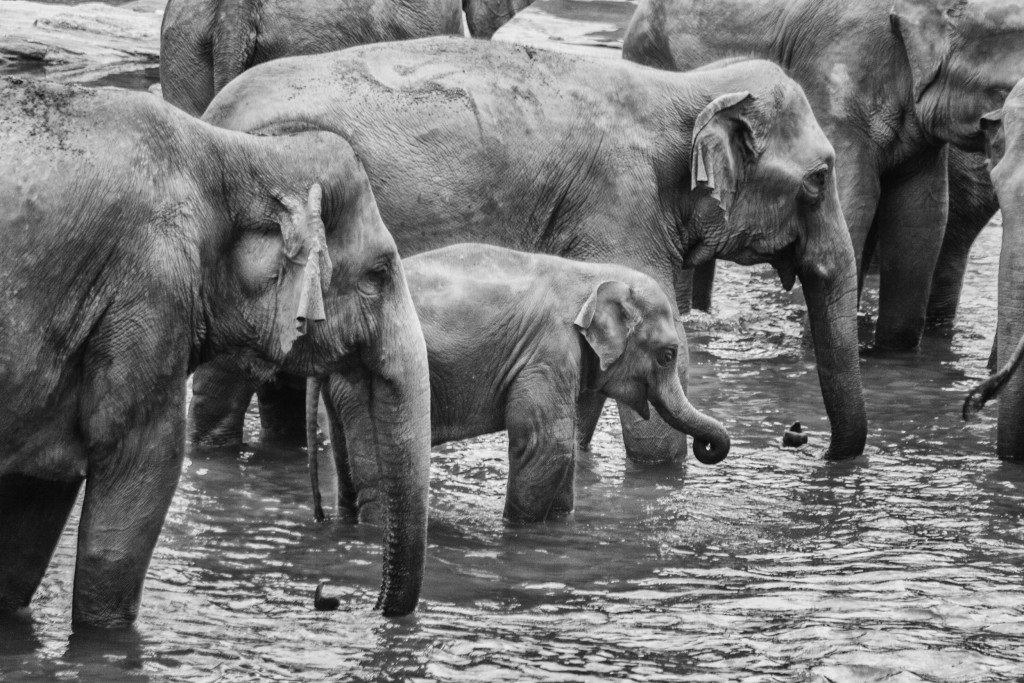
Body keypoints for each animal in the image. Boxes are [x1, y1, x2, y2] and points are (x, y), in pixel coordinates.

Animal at [0, 77, 430, 626]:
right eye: (378, 275)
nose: (331, 596)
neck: (232, 154)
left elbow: (37, 494)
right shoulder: (149, 288)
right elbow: (143, 461)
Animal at [307, 244, 732, 525]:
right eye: (667, 355)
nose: (707, 447)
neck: (592, 275)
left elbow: (560, 449)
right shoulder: (549, 351)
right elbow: (547, 443)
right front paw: (520, 531)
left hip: (345, 384)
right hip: (374, 380)